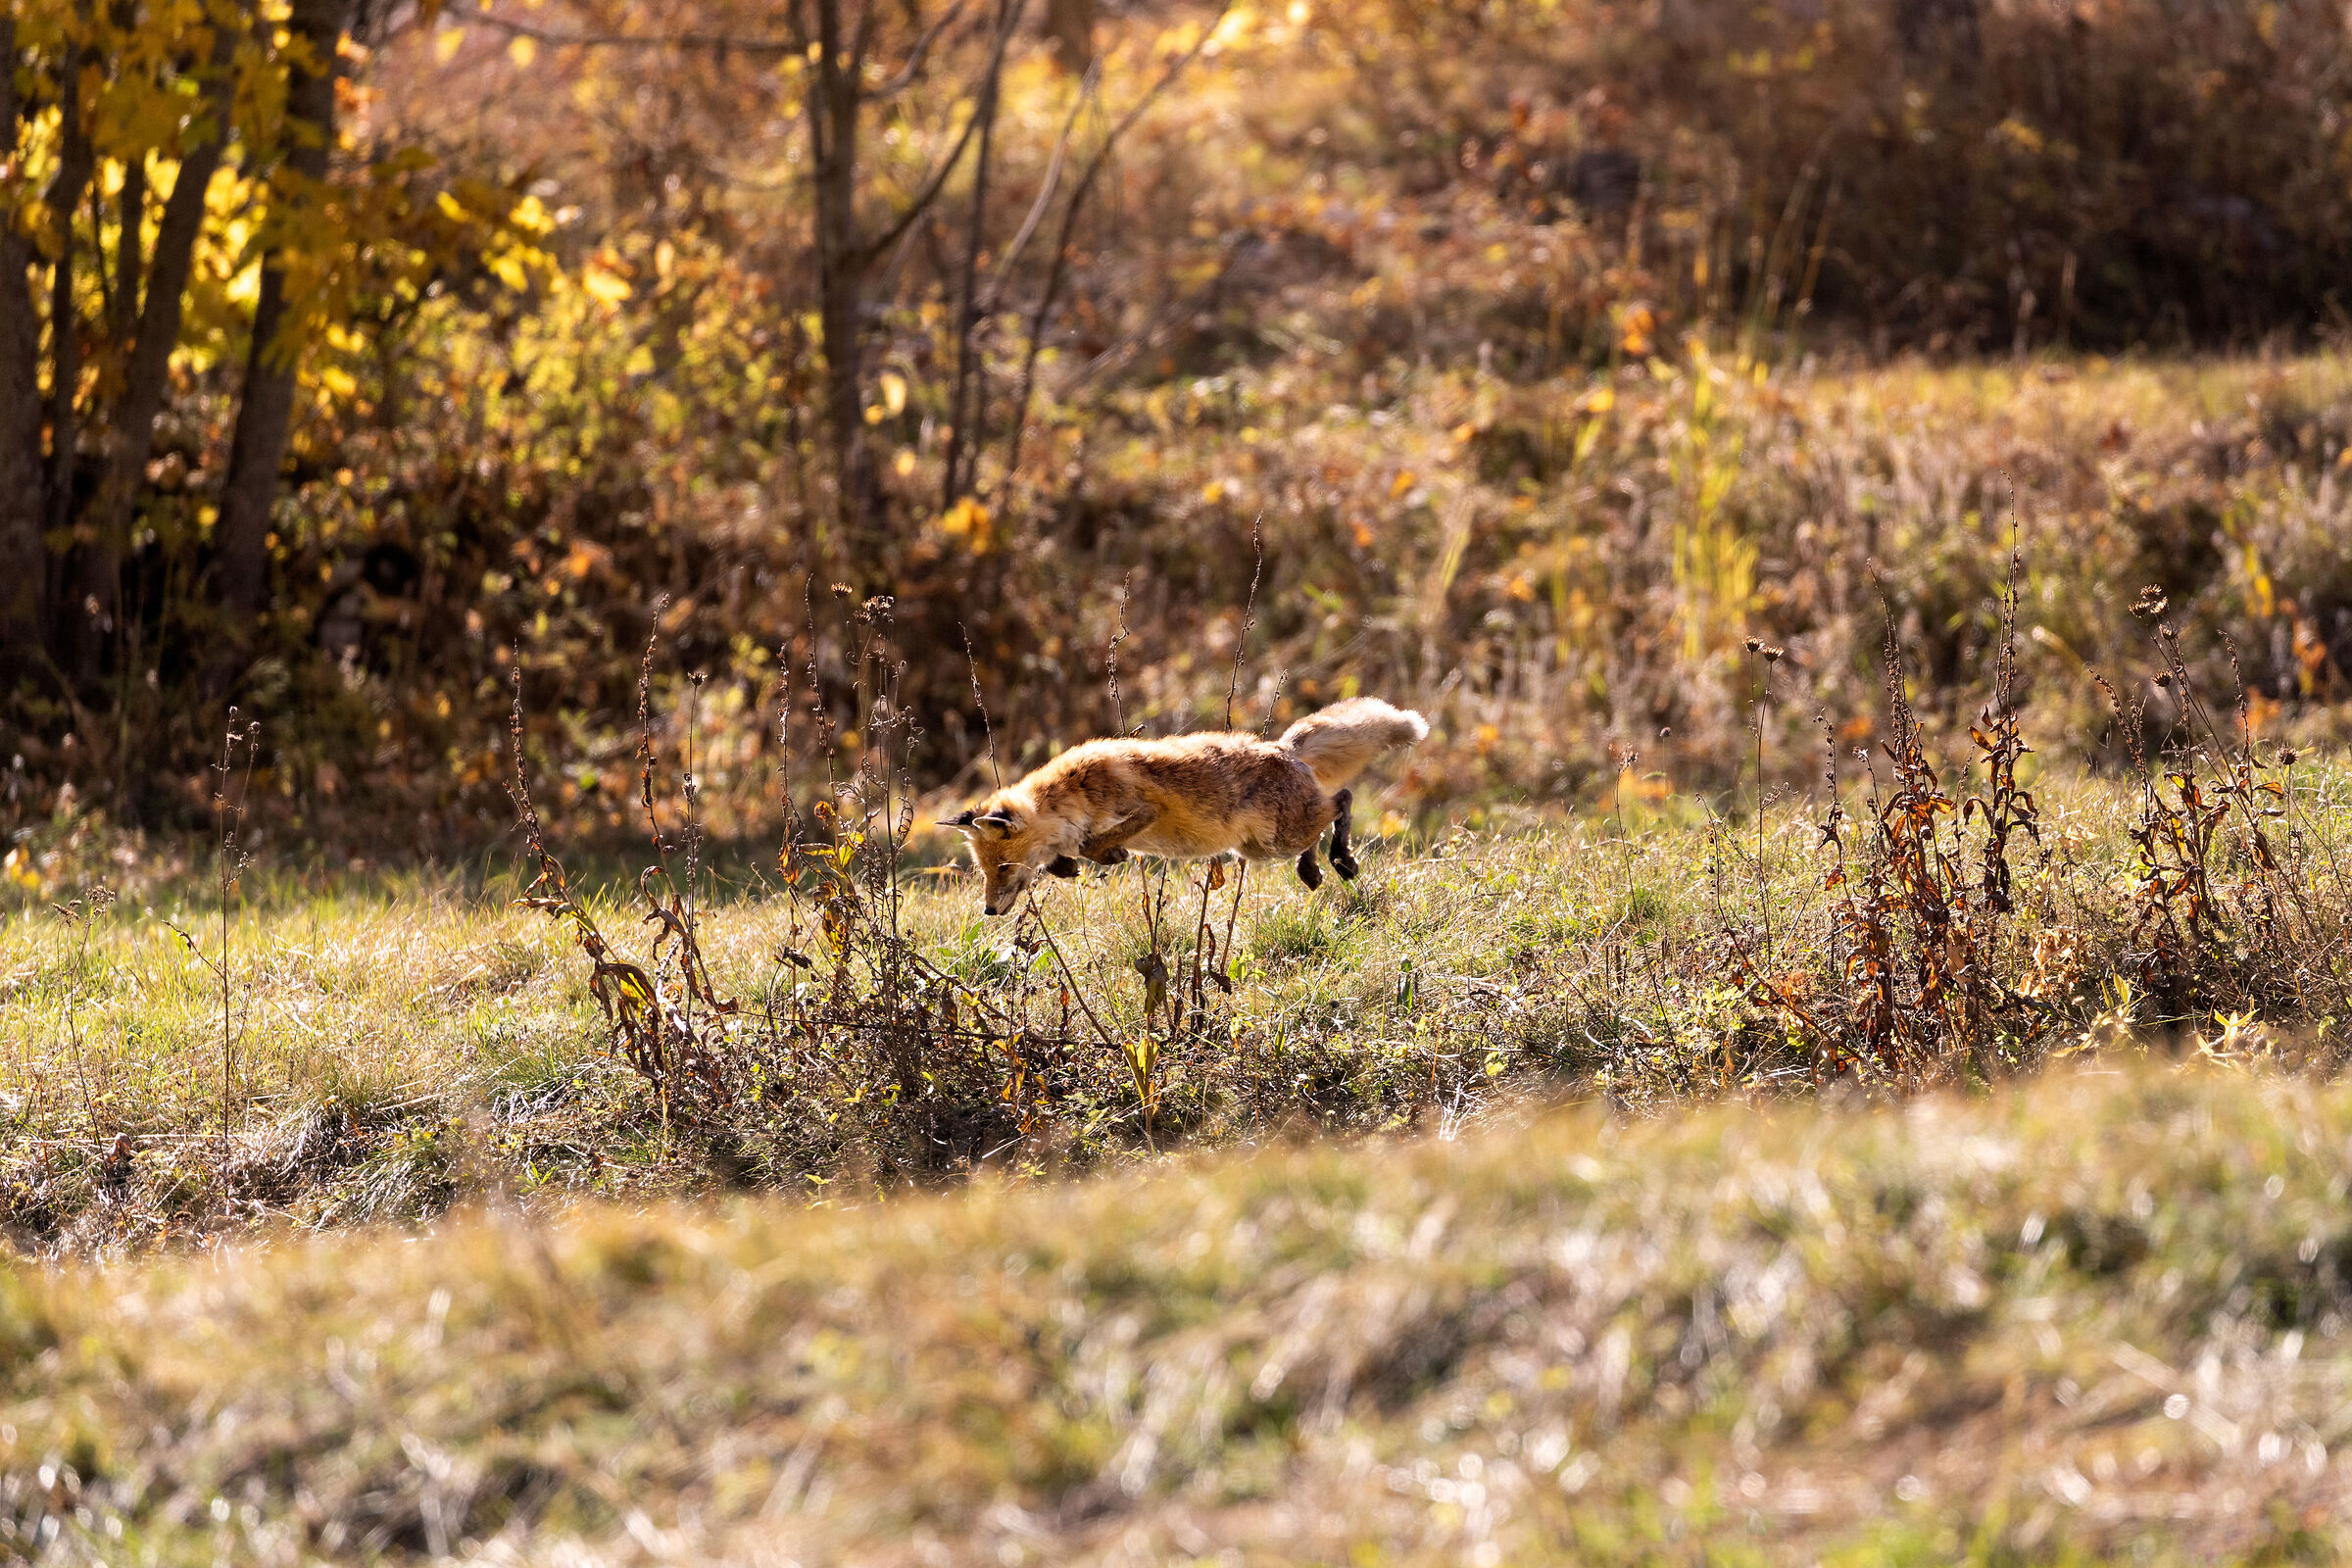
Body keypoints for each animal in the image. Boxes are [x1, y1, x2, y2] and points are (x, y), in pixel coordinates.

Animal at [946, 696, 1430, 916]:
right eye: (985, 872)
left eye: (1003, 868)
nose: (988, 911)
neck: (1073, 792)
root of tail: (1282, 747)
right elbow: (1067, 854)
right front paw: (1064, 866)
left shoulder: (1143, 810)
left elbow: (1091, 843)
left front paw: (1103, 854)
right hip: (1258, 847)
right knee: (1325, 817)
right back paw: (1312, 870)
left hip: (1278, 837)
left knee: (1341, 801)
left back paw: (1340, 859)